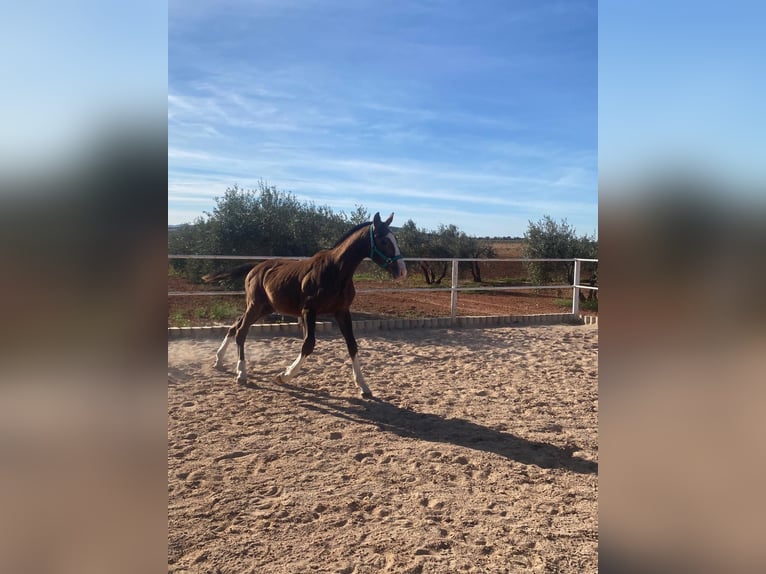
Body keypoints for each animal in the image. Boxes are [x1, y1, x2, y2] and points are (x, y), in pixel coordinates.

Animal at [204, 214, 408, 398]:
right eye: (383, 240)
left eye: (395, 239)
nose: (402, 271)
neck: (336, 271)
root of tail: (255, 267)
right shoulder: (309, 311)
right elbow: (308, 344)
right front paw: (283, 376)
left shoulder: (342, 312)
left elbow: (352, 345)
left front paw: (364, 387)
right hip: (255, 305)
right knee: (241, 331)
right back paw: (241, 373)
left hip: (265, 308)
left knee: (235, 325)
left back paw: (219, 360)